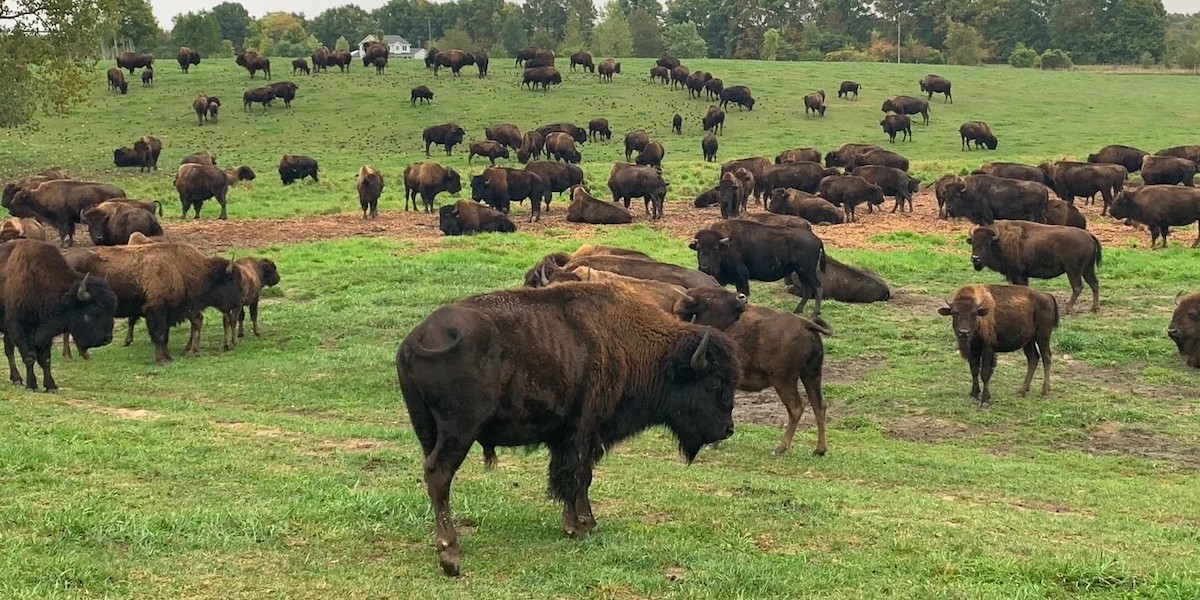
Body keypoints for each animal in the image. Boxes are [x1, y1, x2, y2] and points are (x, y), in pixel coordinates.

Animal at [398, 280, 739, 576]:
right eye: (714, 382)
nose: (727, 430)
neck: (633, 345)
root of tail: (417, 339)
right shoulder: (584, 432)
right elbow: (578, 477)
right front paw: (581, 526)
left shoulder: (569, 437)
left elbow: (575, 477)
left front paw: (580, 523)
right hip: (459, 432)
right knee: (440, 475)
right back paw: (450, 556)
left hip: (427, 430)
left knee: (435, 480)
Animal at [676, 286, 835, 453]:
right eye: (708, 297)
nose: (741, 297)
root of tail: (803, 323)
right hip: (811, 374)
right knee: (819, 405)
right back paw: (820, 450)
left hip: (784, 380)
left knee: (796, 407)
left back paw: (780, 449)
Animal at [696, 220, 825, 321]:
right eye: (698, 249)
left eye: (715, 248)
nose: (704, 268)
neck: (726, 246)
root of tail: (817, 240)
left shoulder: (741, 277)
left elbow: (744, 293)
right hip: (801, 272)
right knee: (807, 290)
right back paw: (797, 310)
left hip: (807, 271)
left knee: (818, 287)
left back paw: (815, 313)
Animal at [969, 222, 1099, 314]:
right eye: (973, 243)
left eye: (986, 245)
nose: (975, 258)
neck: (999, 241)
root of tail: (1089, 235)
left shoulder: (1018, 274)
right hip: (1087, 269)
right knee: (1094, 283)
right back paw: (1094, 308)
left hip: (1073, 270)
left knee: (1078, 286)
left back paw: (1068, 309)